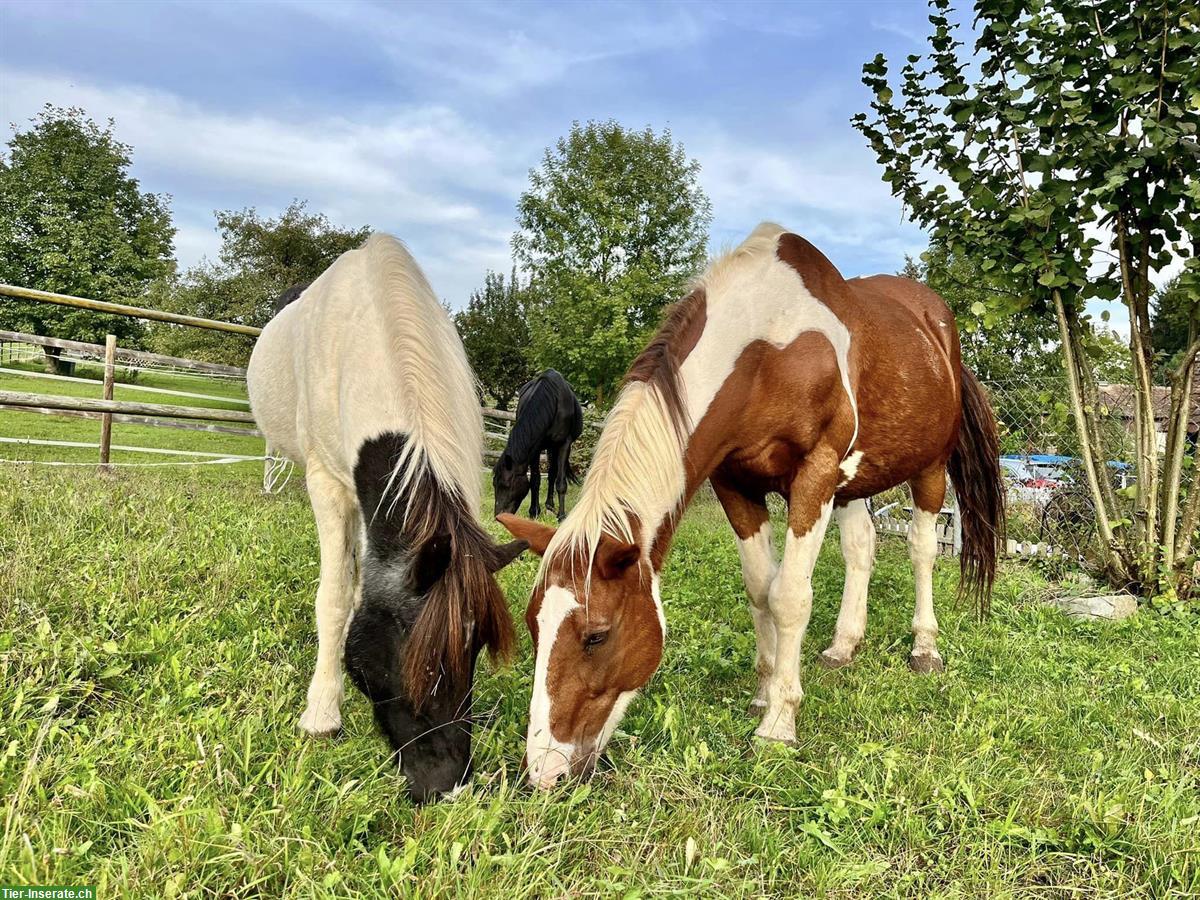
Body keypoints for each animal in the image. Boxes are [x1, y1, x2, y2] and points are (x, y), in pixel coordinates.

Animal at [246, 234, 523, 801]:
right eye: (412, 657)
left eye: (475, 651)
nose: (447, 787)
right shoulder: (329, 485)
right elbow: (334, 600)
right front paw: (322, 714)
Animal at [501, 224, 1008, 787]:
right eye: (532, 624)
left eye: (596, 636)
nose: (543, 770)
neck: (767, 343)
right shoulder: (736, 483)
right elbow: (761, 590)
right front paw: (764, 694)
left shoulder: (815, 475)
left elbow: (789, 596)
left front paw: (779, 722)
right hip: (854, 483)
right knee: (861, 549)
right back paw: (843, 645)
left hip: (929, 468)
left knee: (922, 550)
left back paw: (924, 647)